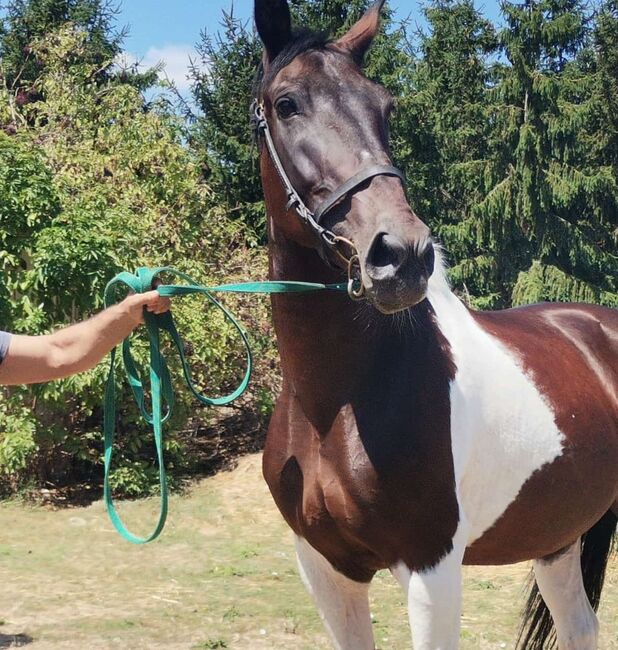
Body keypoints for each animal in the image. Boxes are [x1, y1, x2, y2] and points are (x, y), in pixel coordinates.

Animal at [250, 2, 616, 644]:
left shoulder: (431, 570)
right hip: (558, 536)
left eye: (385, 106)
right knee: (579, 627)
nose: (402, 255)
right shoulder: (325, 570)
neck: (335, 405)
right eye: (287, 103)